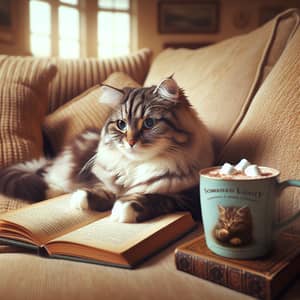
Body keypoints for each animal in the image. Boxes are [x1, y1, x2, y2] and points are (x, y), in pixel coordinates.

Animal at [0, 77, 213, 223]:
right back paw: (53, 190)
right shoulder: (105, 180)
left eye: (149, 123)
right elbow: (102, 190)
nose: (131, 142)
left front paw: (124, 207)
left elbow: (154, 196)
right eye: (121, 124)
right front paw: (81, 198)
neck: (136, 166)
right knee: (44, 175)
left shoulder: (187, 198)